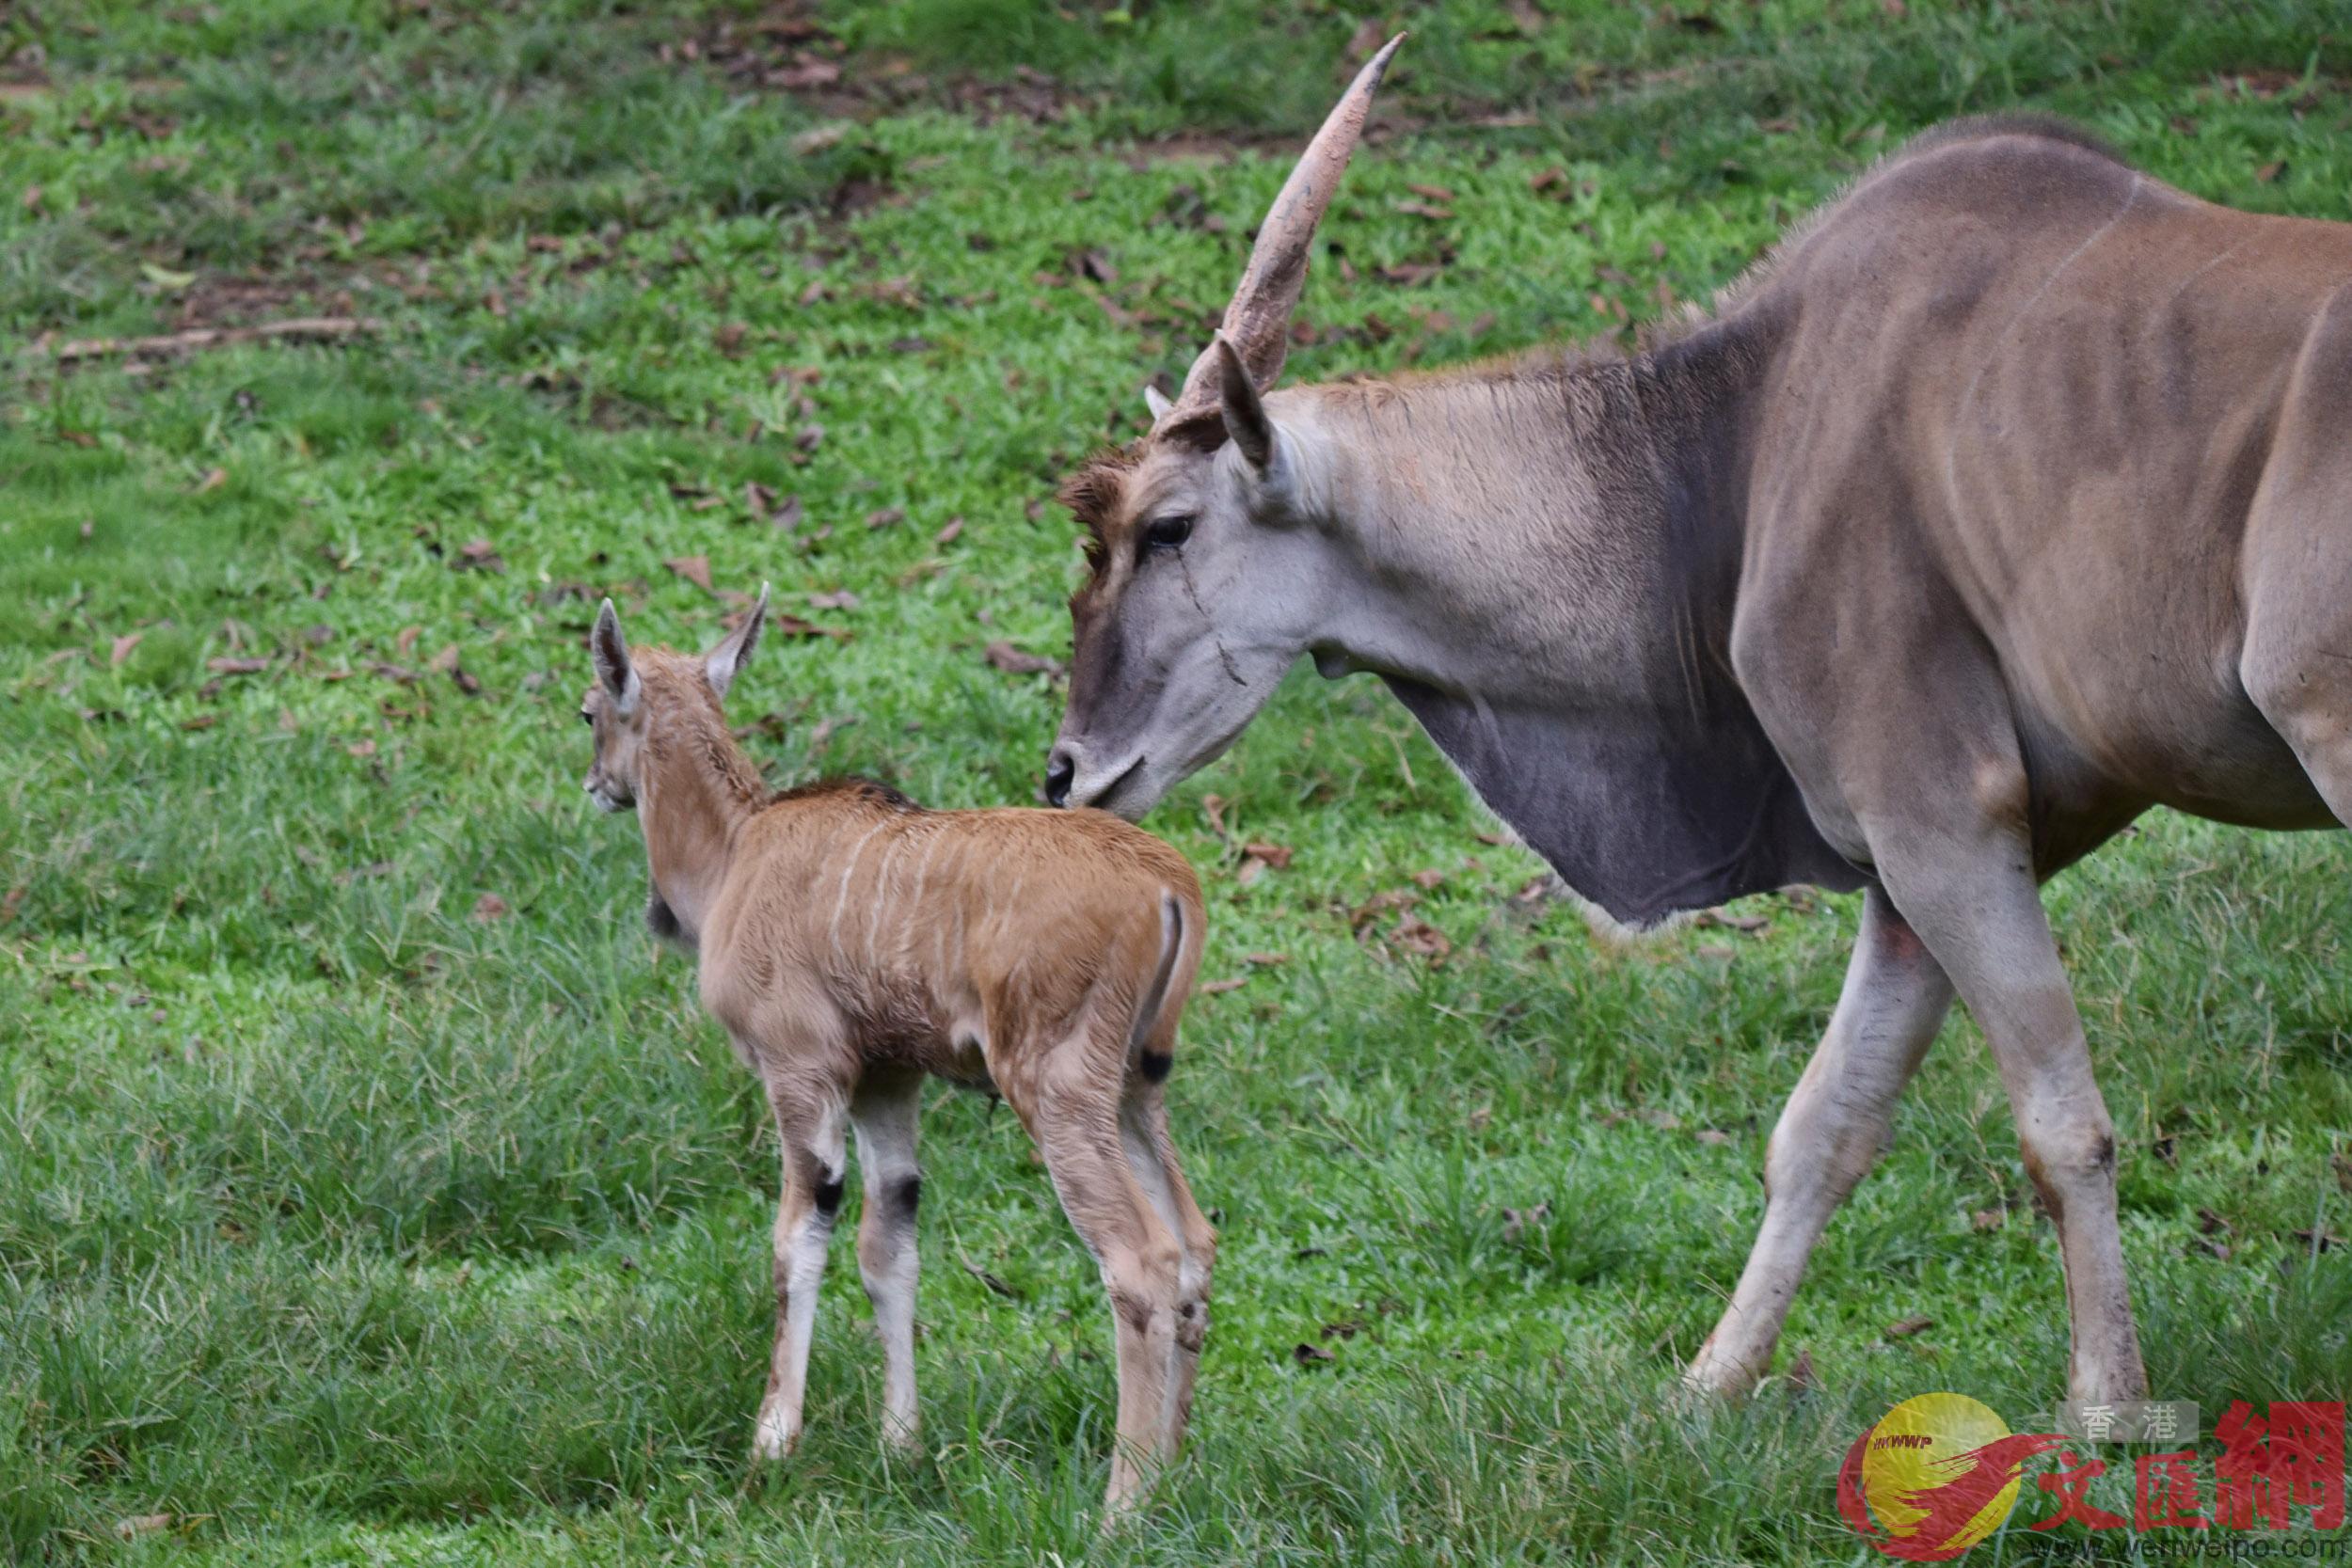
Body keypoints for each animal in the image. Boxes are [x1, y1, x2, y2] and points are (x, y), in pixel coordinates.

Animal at [580, 587, 1214, 1504]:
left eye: (589, 708)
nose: (596, 784)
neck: (737, 851)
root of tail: (1170, 885)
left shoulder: (802, 1069)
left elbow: (798, 1240)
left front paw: (772, 1441)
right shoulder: (889, 1081)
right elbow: (892, 1252)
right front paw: (900, 1443)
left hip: (1057, 1086)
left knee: (1142, 1261)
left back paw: (1121, 1505)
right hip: (1135, 1085)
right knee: (1195, 1245)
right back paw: (1171, 1477)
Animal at [1054, 40, 2352, 1410]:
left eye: (1169, 528)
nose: (1069, 770)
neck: (1733, 436)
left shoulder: (1943, 823)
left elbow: (2061, 1123)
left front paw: (2106, 1402)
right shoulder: (1922, 873)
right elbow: (1824, 1125)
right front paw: (1710, 1385)